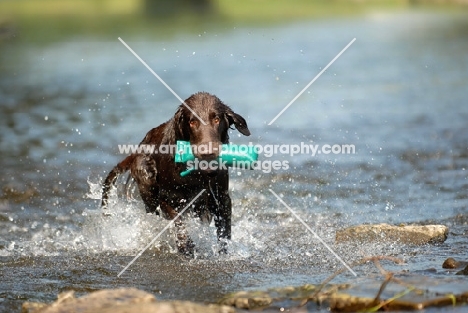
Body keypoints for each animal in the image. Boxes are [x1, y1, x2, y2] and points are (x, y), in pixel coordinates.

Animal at [101, 91, 250, 255]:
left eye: (216, 119)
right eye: (192, 122)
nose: (208, 153)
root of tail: (138, 148)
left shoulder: (222, 198)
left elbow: (224, 232)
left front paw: (223, 253)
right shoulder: (166, 199)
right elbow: (177, 221)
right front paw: (186, 245)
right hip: (147, 183)